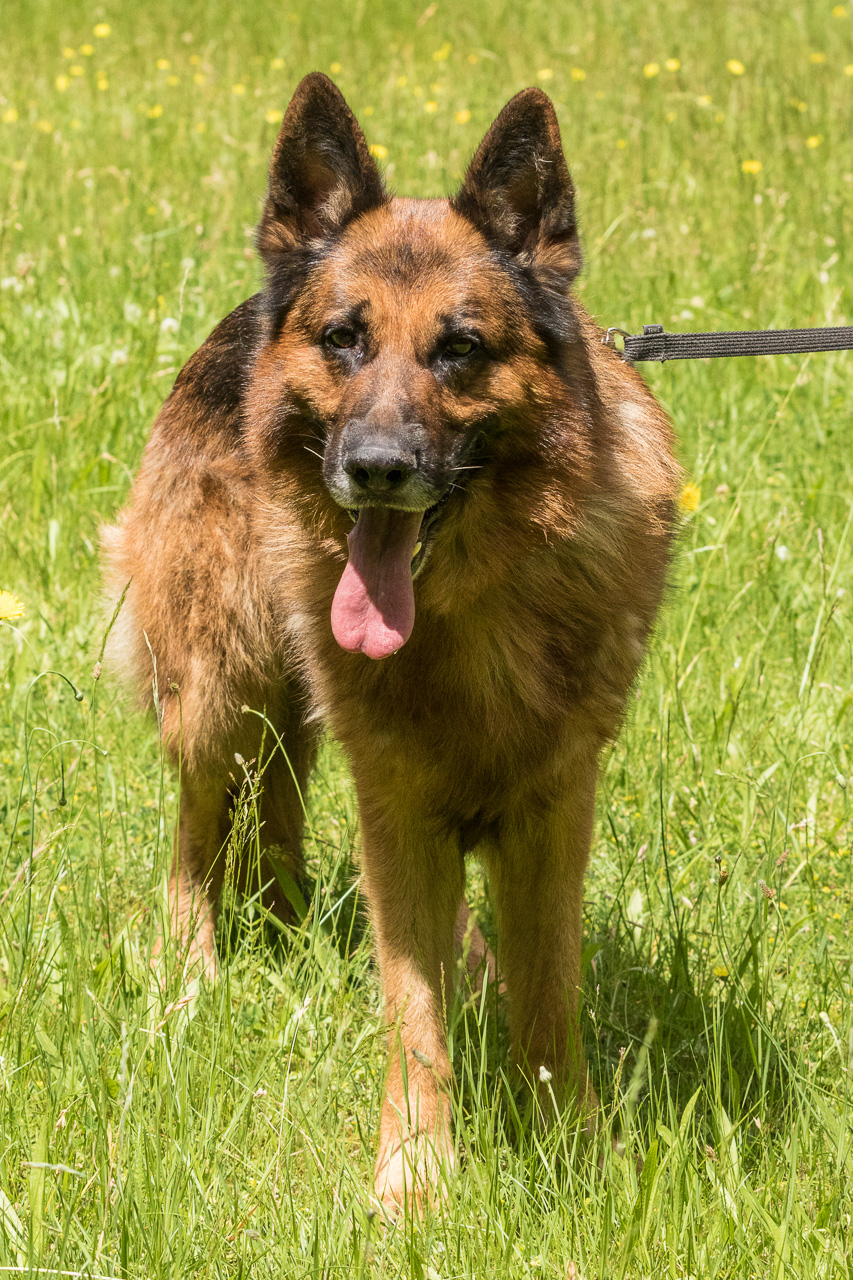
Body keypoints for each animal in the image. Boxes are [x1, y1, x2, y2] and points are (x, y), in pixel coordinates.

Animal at [103, 73, 679, 1211]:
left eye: (460, 348)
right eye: (343, 340)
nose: (374, 468)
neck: (470, 605)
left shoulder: (553, 806)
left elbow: (548, 992)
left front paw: (570, 1148)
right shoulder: (398, 807)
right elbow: (412, 1012)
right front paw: (414, 1180)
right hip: (219, 687)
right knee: (199, 831)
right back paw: (192, 972)